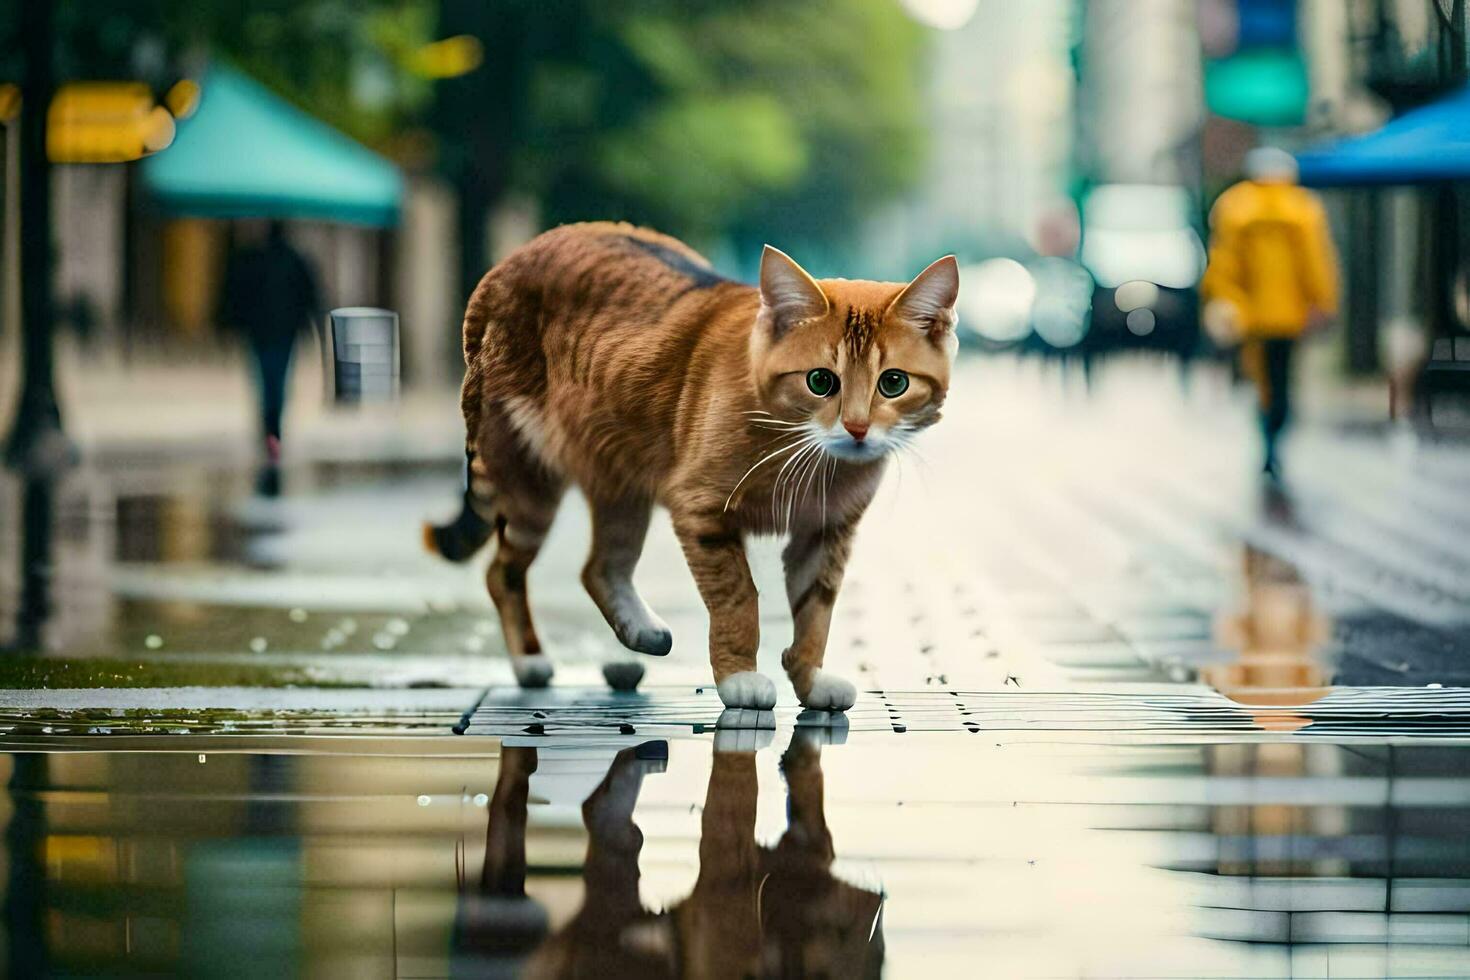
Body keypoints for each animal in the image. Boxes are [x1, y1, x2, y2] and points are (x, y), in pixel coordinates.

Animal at [423, 223, 964, 714]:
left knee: (600, 567)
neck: (808, 459)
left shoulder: (826, 533)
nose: (856, 428)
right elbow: (738, 598)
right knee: (501, 572)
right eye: (820, 381)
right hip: (526, 481)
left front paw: (808, 680)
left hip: (622, 478)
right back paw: (530, 660)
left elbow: (816, 614)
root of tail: (507, 265)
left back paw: (639, 631)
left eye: (893, 383)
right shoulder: (703, 512)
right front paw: (740, 677)